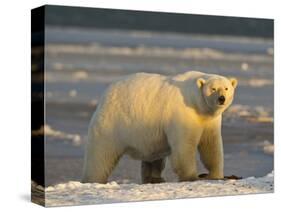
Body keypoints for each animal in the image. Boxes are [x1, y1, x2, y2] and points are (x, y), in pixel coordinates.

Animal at [81, 71, 236, 184]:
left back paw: (155, 178)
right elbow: (184, 147)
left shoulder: (210, 120)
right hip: (112, 122)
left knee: (155, 157)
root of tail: (107, 93)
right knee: (101, 154)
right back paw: (92, 179)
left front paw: (216, 175)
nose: (221, 98)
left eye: (226, 88)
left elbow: (211, 145)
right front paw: (192, 176)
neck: (196, 103)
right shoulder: (182, 114)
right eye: (213, 88)